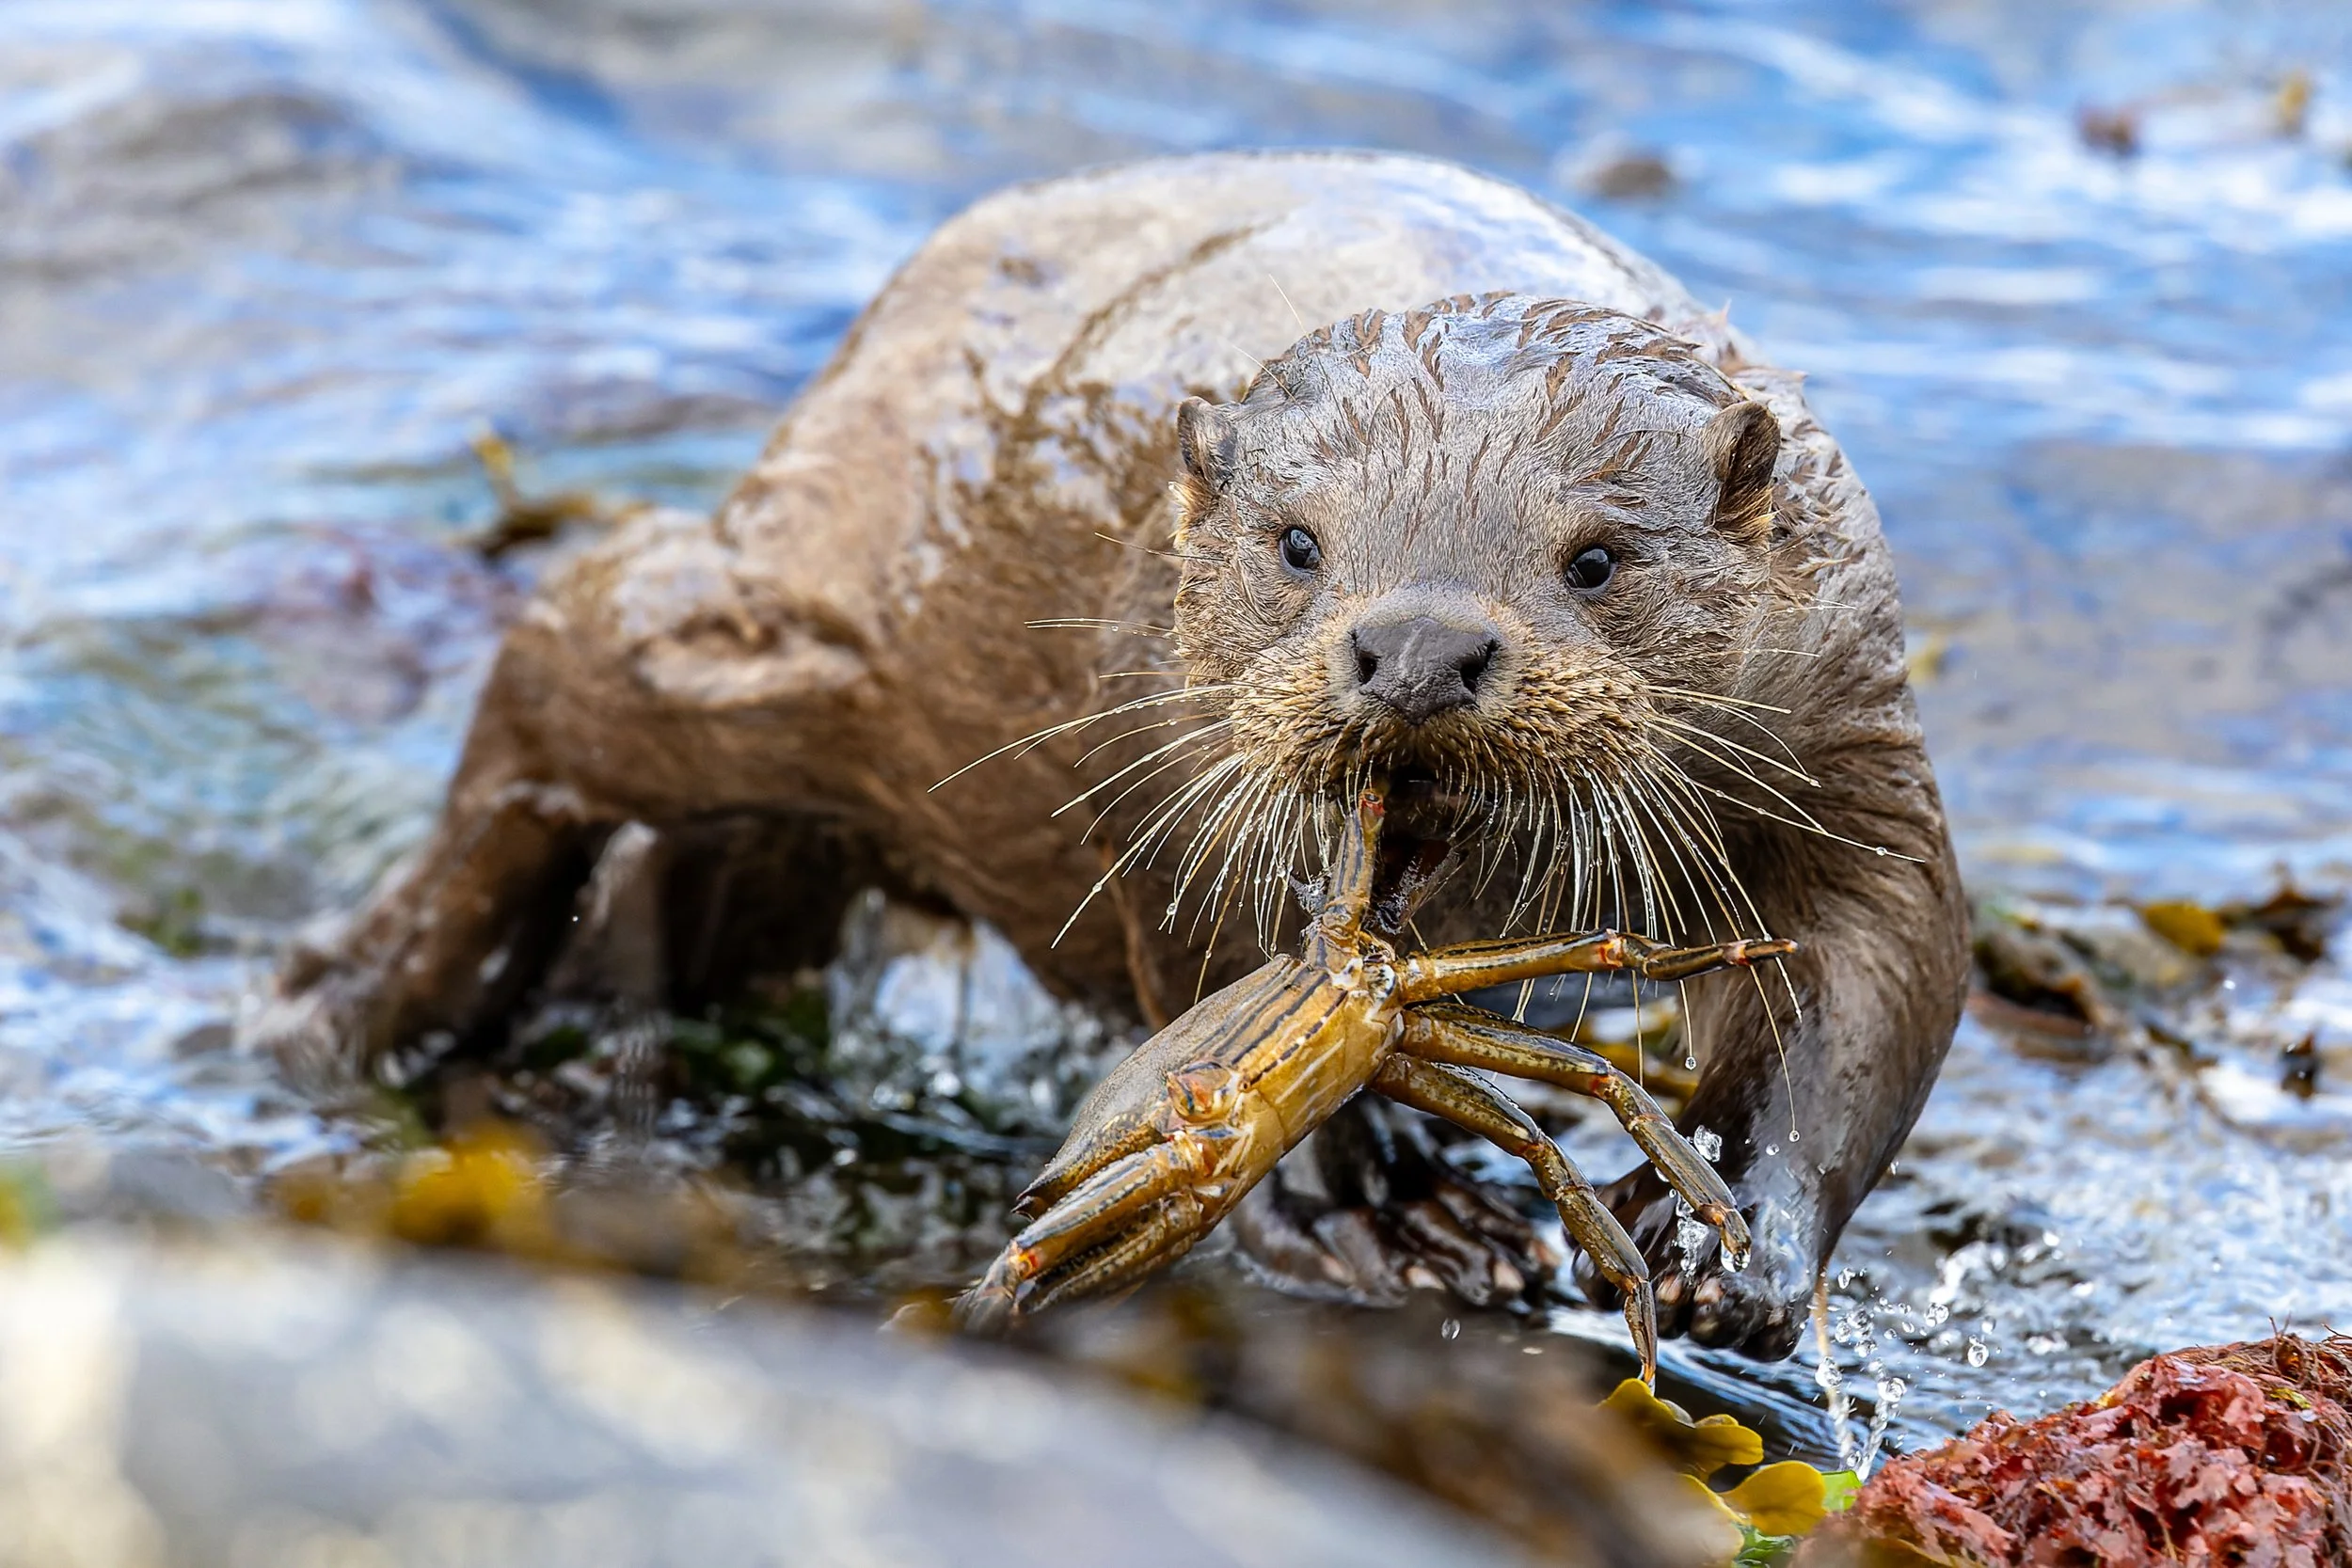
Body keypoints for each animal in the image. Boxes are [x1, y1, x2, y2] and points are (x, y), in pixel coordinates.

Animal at [259, 151, 1967, 1359]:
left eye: (1599, 558)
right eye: (1298, 544)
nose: (1415, 644)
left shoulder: (1849, 734)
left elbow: (1875, 971)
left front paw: (1734, 1233)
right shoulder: (1163, 775)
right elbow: (1224, 1000)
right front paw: (1368, 1213)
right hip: (792, 625)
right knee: (563, 641)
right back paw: (350, 991)